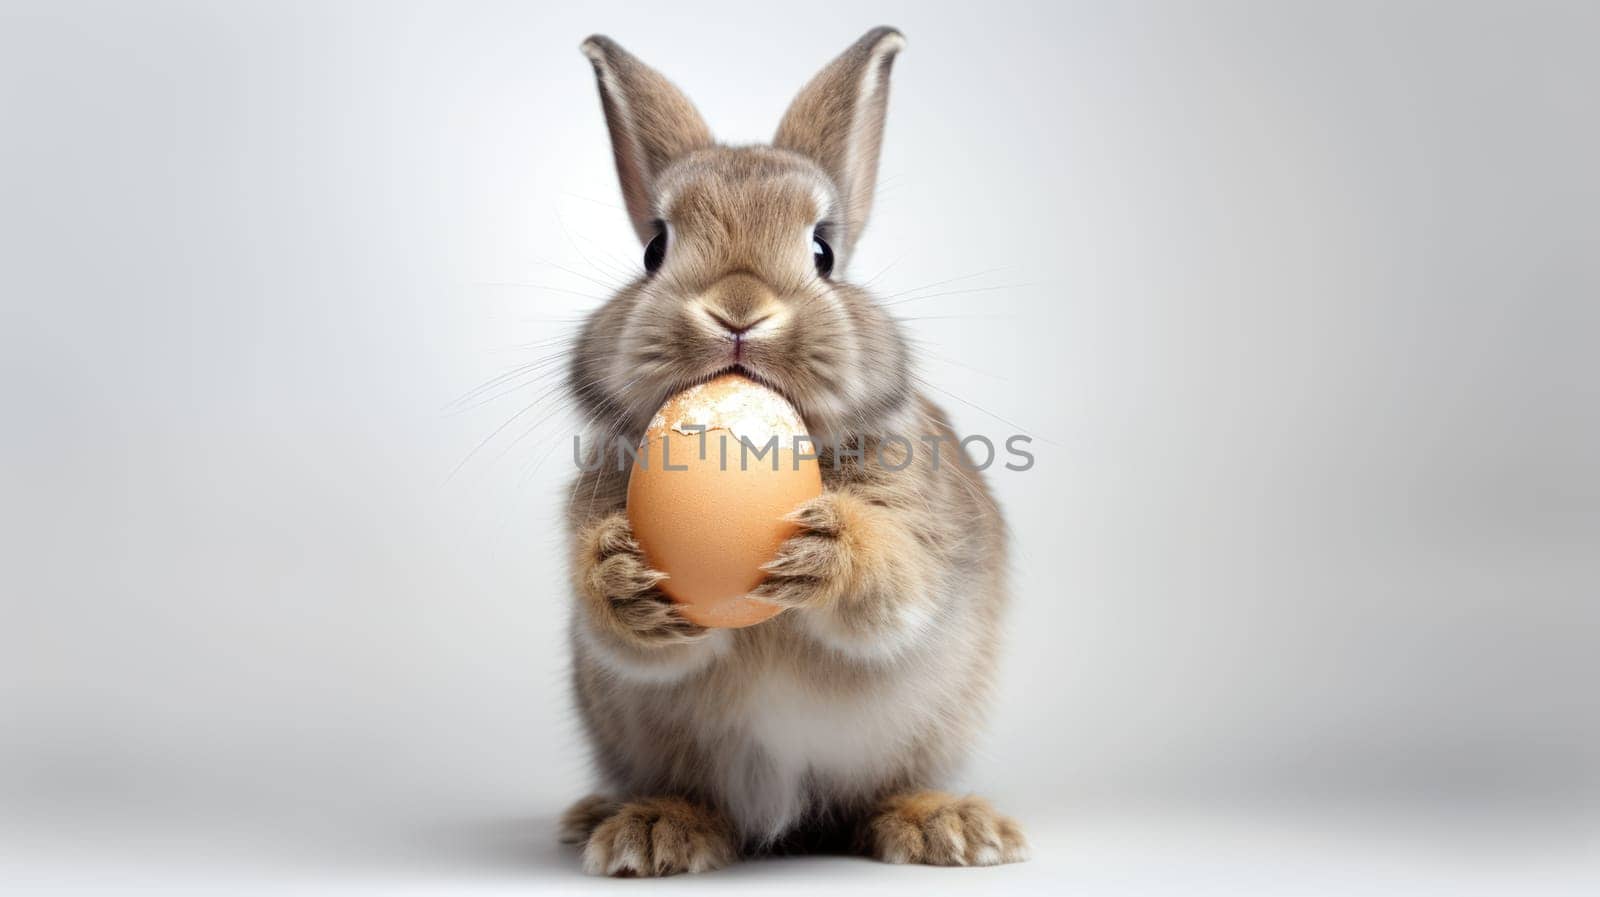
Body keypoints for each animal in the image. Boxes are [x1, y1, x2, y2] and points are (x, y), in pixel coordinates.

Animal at [556, 27, 1024, 876]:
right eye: (654, 248)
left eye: (823, 251)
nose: (738, 310)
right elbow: (626, 634)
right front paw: (620, 574)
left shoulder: (923, 533)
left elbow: (893, 587)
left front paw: (825, 548)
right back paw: (644, 827)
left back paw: (948, 825)